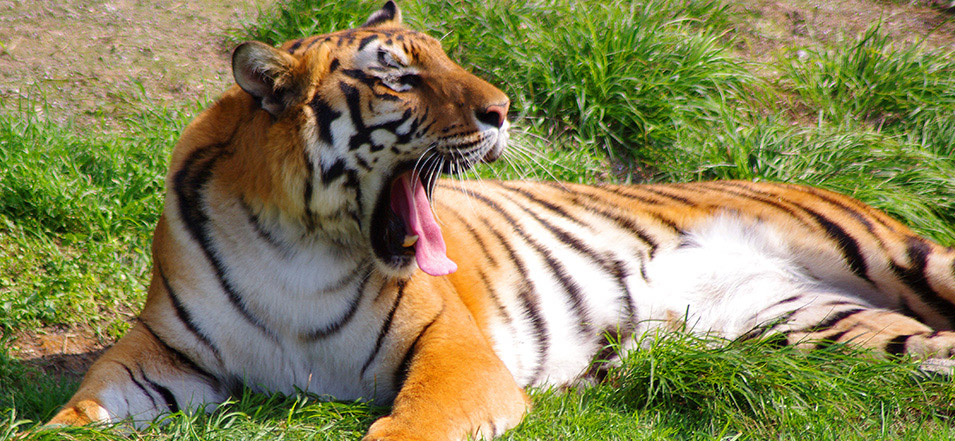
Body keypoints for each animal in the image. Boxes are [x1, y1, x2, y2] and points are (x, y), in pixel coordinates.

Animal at [46, 1, 955, 440]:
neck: (295, 241)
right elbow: (75, 413)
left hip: (901, 257)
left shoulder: (455, 353)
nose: (504, 109)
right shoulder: (166, 353)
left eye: (446, 55)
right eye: (400, 77)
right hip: (822, 331)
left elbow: (402, 429)